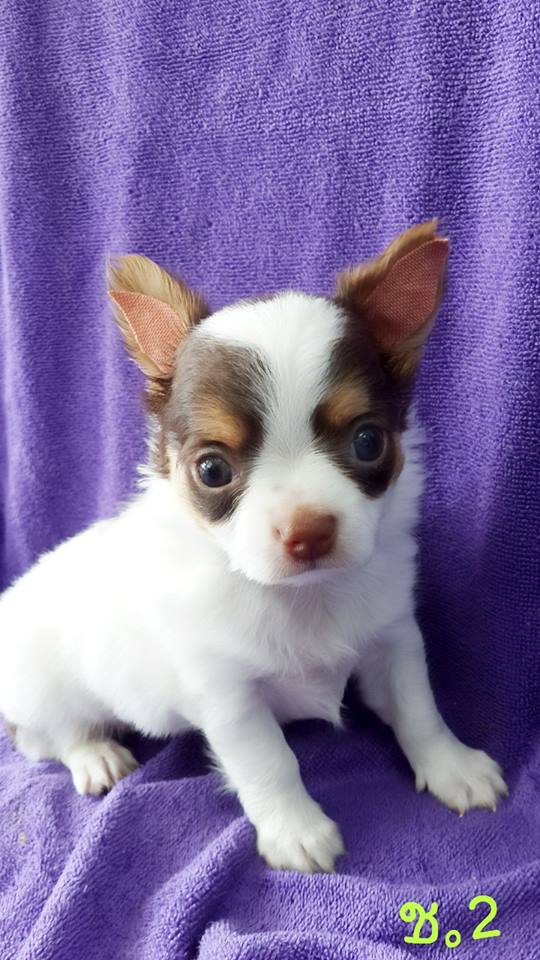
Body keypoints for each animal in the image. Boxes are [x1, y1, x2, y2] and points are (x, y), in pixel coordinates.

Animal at [0, 221, 507, 873]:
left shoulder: (393, 641)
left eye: (368, 441)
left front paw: (452, 767)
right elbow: (270, 762)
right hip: (42, 685)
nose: (308, 529)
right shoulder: (229, 697)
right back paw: (96, 755)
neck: (305, 599)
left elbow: (419, 709)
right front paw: (296, 831)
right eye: (213, 470)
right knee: (44, 735)